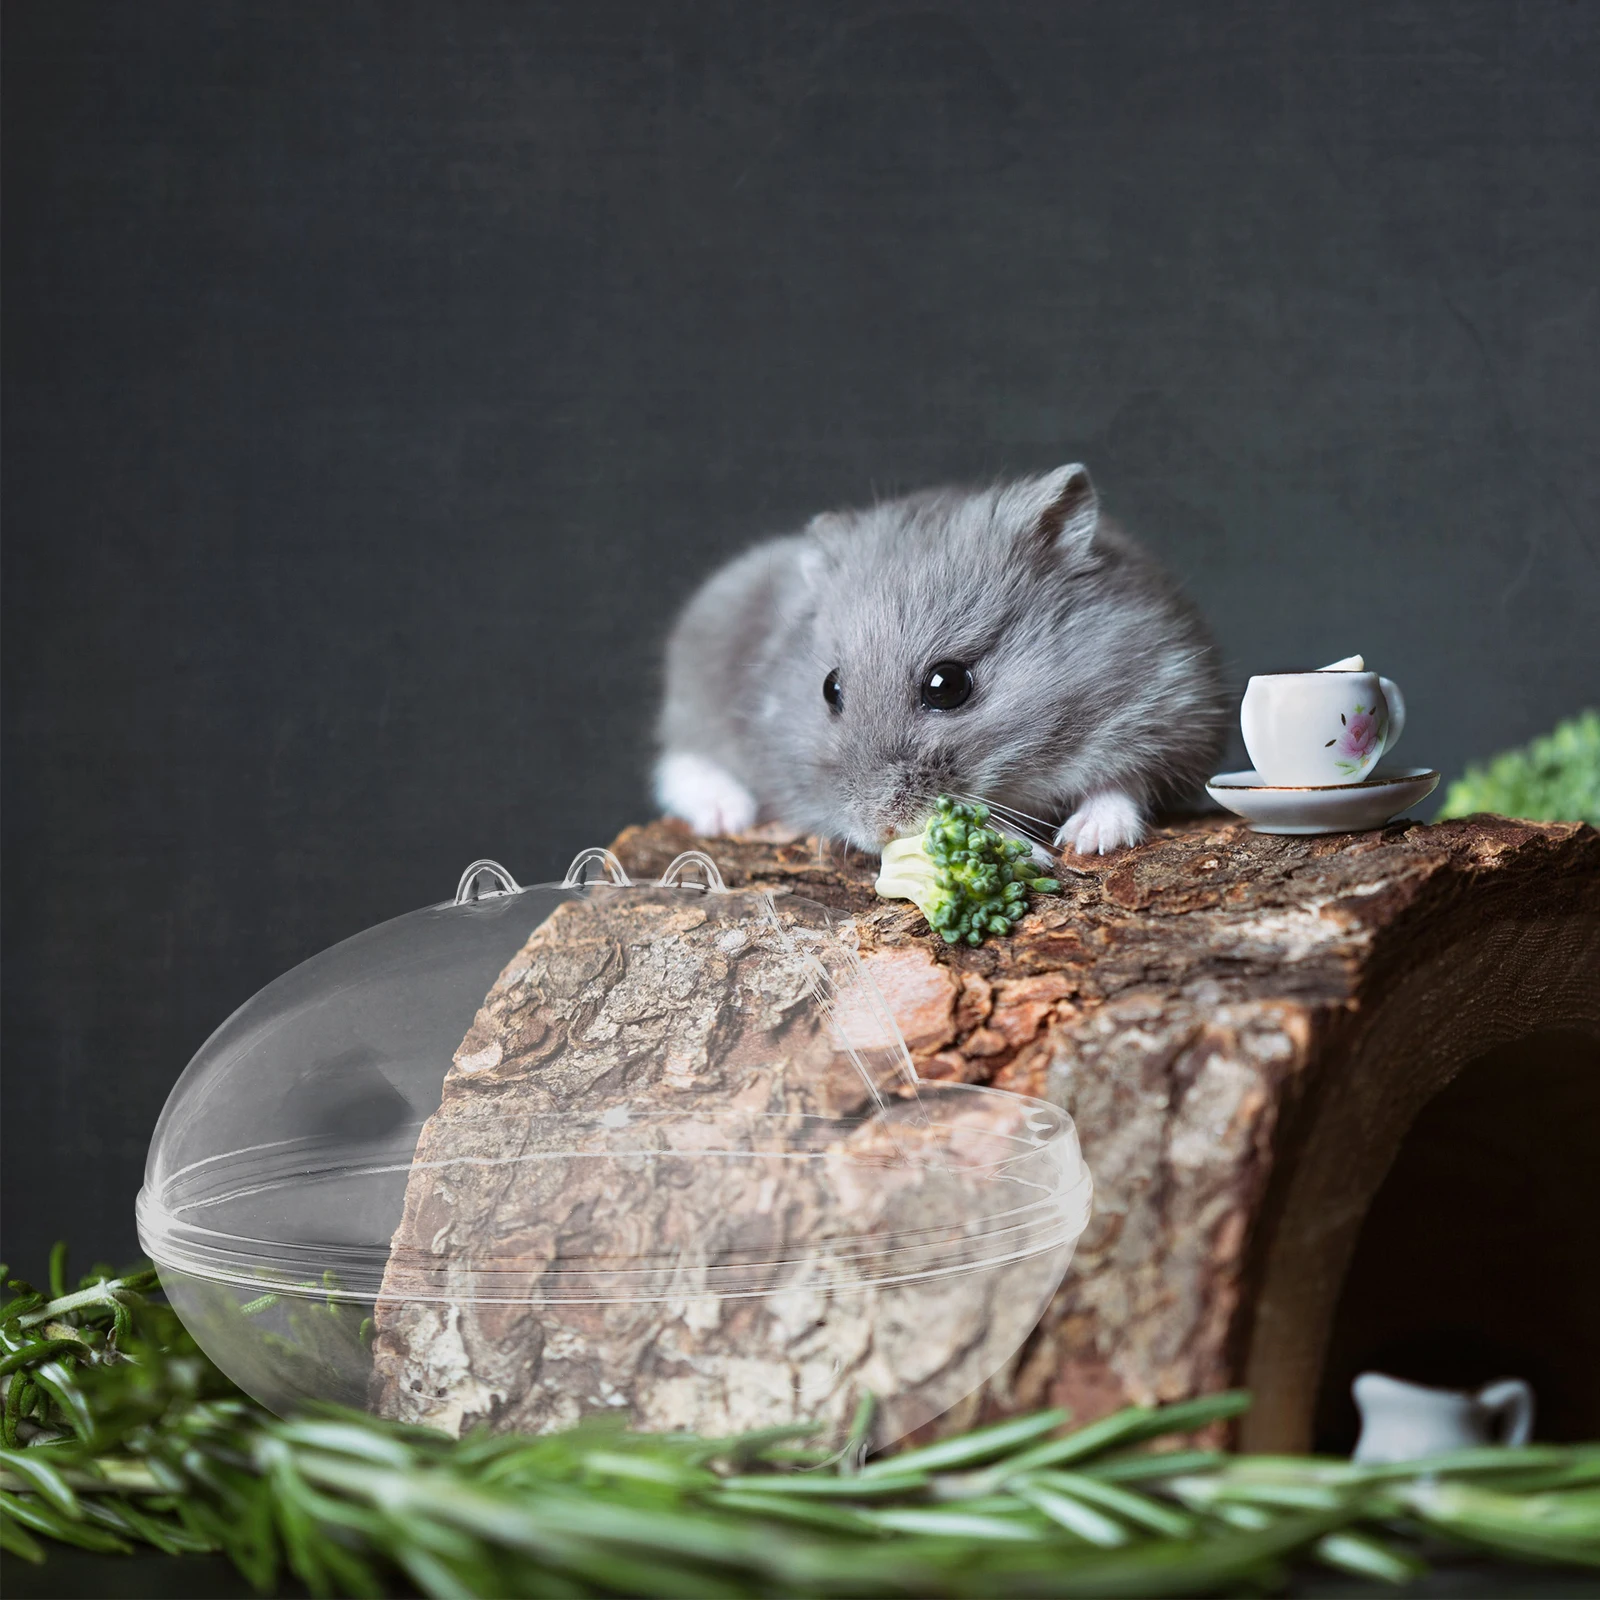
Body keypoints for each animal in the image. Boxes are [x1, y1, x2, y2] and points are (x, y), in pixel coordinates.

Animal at [654, 464, 1226, 856]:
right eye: (829, 689)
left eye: (946, 685)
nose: (878, 831)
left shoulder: (1172, 706)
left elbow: (1123, 783)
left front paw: (1087, 840)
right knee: (680, 761)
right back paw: (726, 815)